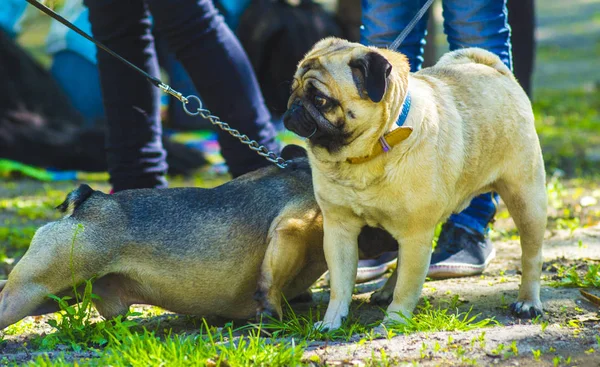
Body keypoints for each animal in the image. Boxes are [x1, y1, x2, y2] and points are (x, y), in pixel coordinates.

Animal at [284, 37, 548, 330]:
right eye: (292, 88)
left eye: (321, 100)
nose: (294, 106)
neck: (366, 155)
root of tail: (494, 70)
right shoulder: (339, 229)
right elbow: (341, 285)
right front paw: (332, 321)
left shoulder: (416, 234)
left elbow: (408, 286)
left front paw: (394, 322)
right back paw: (385, 291)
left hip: (527, 201)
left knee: (532, 255)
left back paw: (528, 302)